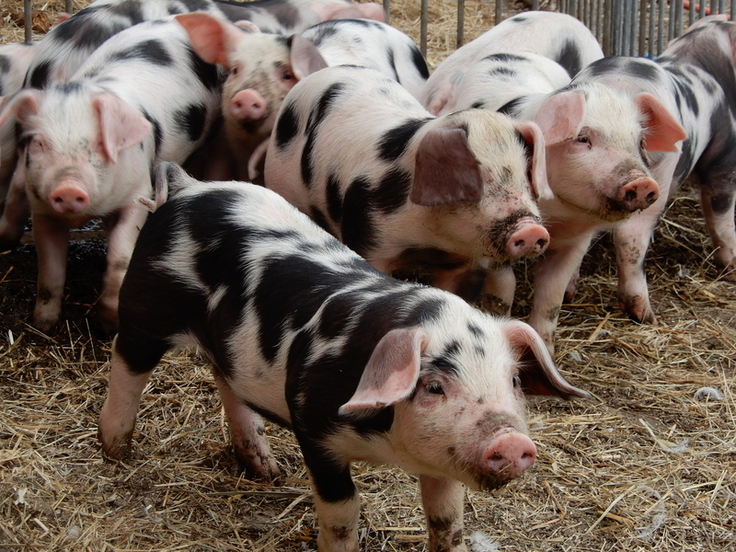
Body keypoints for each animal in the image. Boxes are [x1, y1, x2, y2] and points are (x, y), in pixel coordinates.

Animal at [0, 19, 221, 332]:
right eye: (40, 143)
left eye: (97, 143)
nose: (68, 188)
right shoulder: (42, 209)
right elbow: (50, 272)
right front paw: (43, 324)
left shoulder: (138, 194)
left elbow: (119, 257)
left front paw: (108, 324)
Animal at [99, 162, 592, 552]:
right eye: (434, 386)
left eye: (513, 381)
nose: (510, 441)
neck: (387, 444)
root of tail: (188, 186)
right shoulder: (313, 427)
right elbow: (343, 512)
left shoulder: (444, 463)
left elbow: (447, 520)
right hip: (148, 305)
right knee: (126, 365)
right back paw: (117, 453)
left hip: (230, 347)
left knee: (226, 381)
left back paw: (267, 470)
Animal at [264, 64, 552, 310]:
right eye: (476, 178)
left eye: (525, 175)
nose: (531, 230)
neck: (431, 237)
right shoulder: (368, 237)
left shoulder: (470, 261)